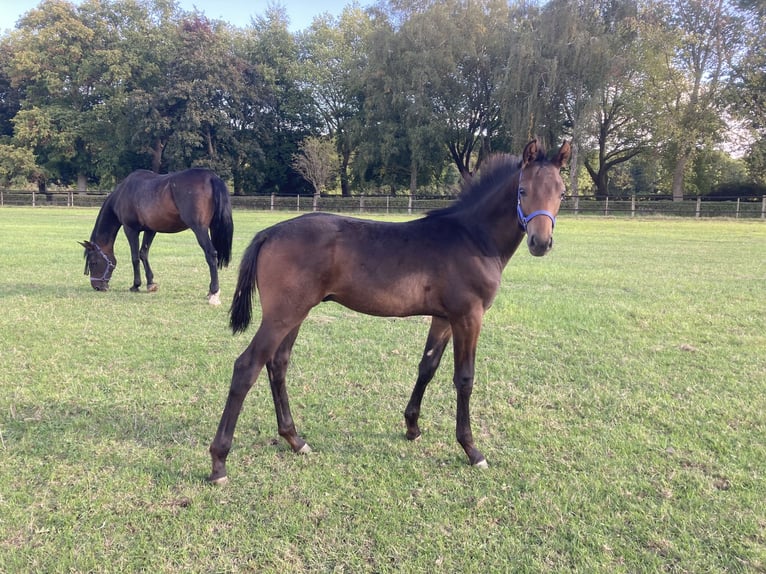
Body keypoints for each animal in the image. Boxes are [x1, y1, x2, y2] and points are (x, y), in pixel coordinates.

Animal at [80, 169, 234, 306]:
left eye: (93, 262)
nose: (97, 287)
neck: (123, 193)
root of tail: (211, 177)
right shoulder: (150, 230)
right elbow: (143, 253)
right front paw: (150, 284)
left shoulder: (130, 230)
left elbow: (135, 257)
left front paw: (136, 285)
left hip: (199, 229)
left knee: (211, 254)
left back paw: (213, 293)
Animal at [208, 141, 568, 486]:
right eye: (523, 191)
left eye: (561, 192)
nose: (540, 242)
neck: (473, 238)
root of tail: (269, 233)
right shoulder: (469, 316)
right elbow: (464, 378)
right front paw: (471, 449)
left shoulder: (443, 318)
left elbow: (427, 367)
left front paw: (412, 427)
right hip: (283, 314)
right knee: (247, 367)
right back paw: (219, 463)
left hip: (294, 314)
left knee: (277, 364)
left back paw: (295, 440)